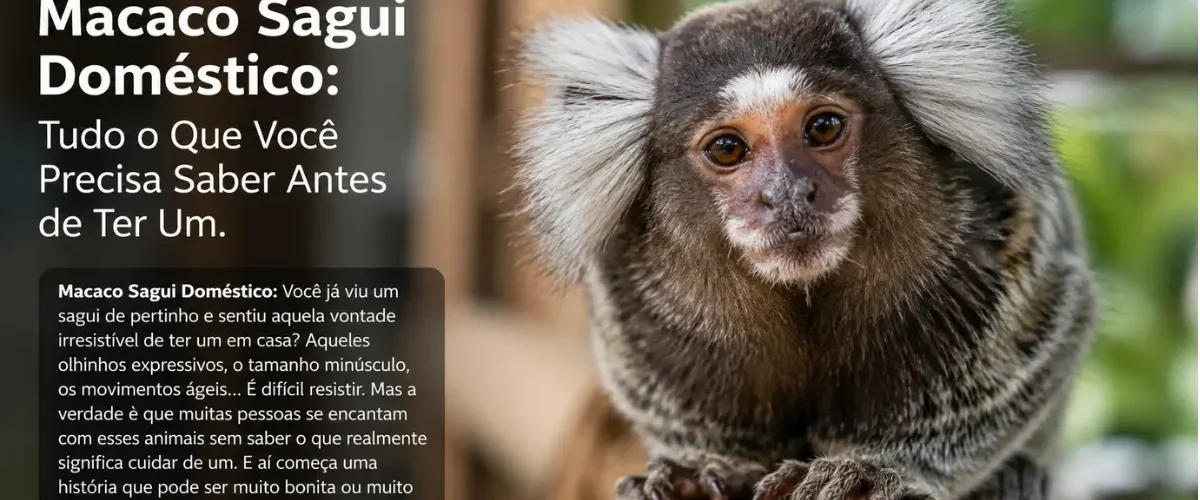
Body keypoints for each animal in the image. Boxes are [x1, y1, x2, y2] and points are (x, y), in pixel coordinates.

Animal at [509, 0, 1098, 499]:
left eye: (823, 127)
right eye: (728, 148)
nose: (788, 193)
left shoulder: (1001, 239)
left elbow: (1040, 336)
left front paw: (875, 470)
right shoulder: (635, 306)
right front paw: (709, 470)